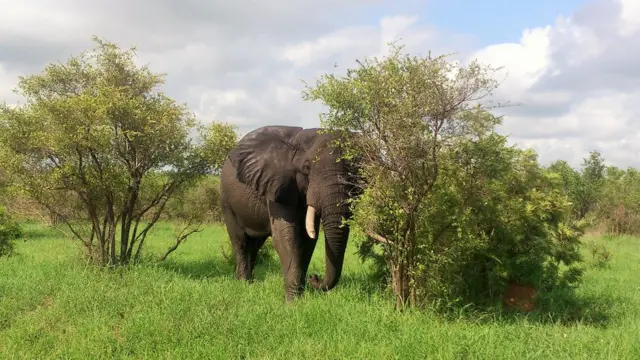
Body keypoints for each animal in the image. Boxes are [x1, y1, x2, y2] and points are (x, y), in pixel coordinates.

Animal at [219, 126, 360, 300]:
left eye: (352, 170)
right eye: (306, 167)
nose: (314, 277)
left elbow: (307, 239)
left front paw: (301, 297)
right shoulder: (276, 184)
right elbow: (286, 236)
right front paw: (293, 302)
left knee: (255, 244)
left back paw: (251, 283)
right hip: (226, 201)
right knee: (240, 242)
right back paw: (244, 284)